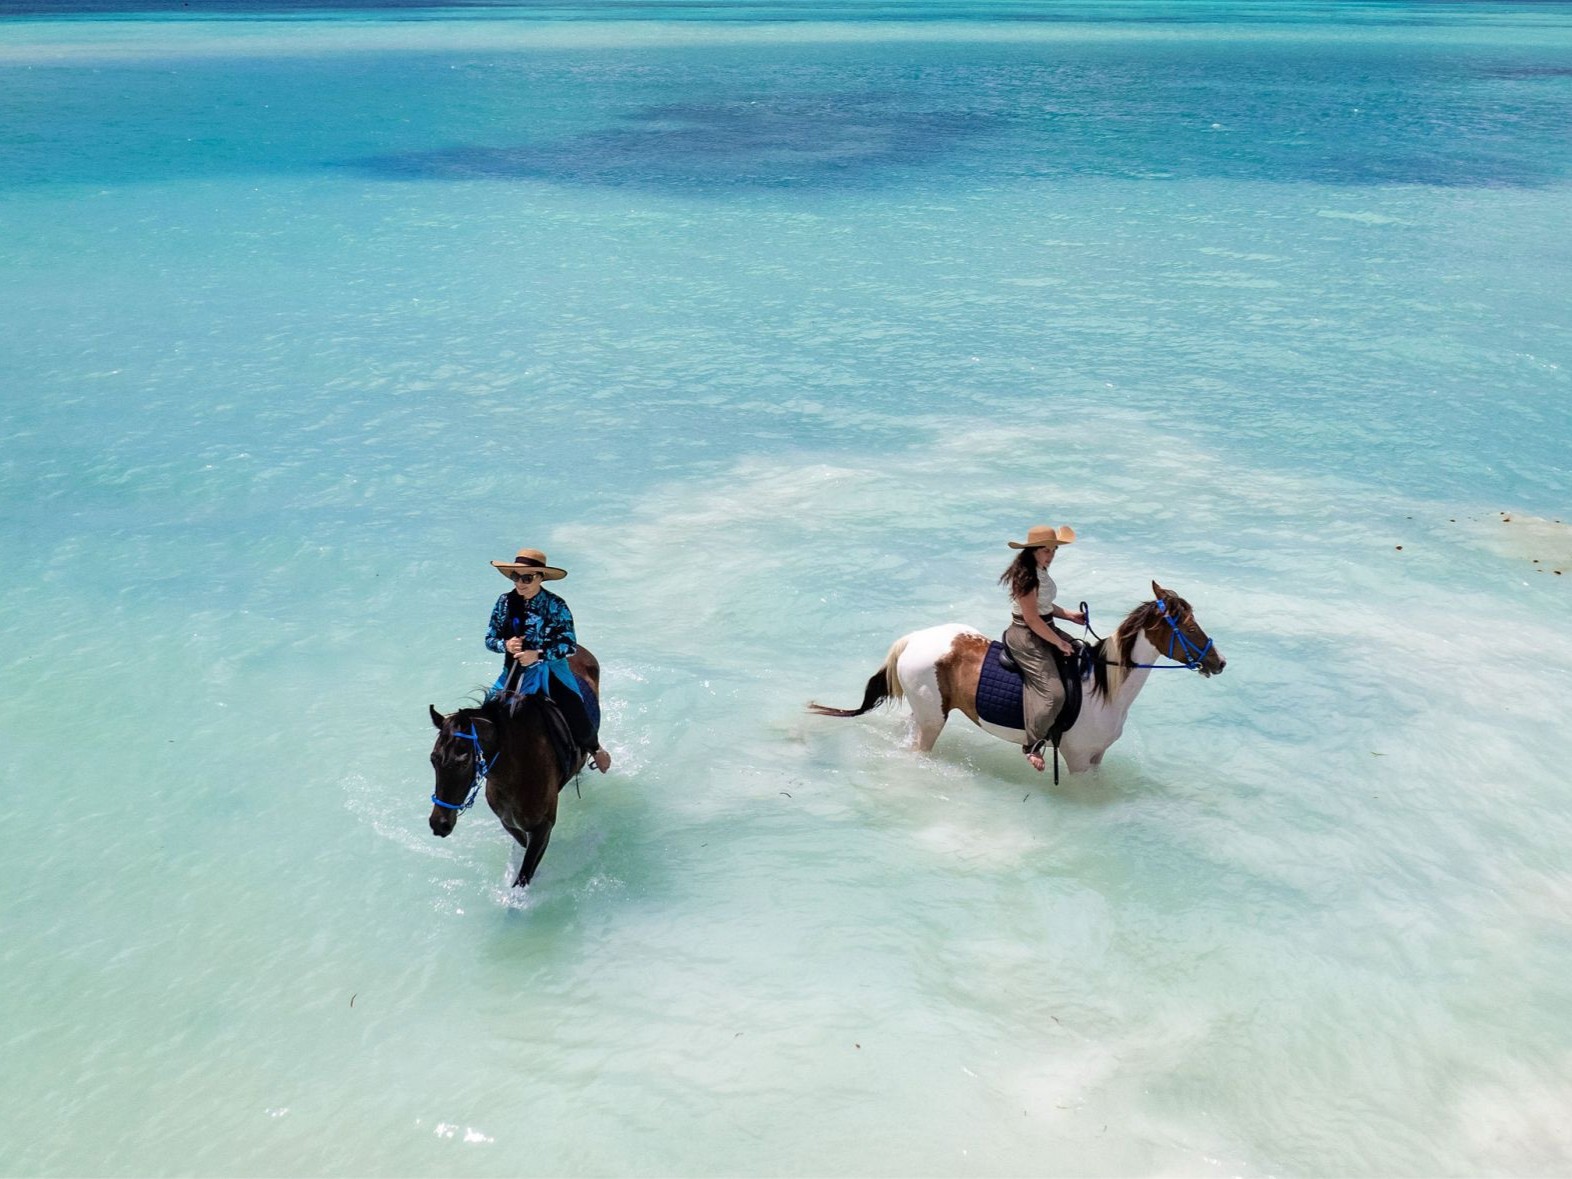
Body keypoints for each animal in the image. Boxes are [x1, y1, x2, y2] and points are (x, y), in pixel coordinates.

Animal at [427, 647, 602, 888]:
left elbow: (523, 875)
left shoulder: (542, 827)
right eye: (433, 759)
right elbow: (521, 845)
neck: (514, 772)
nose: (439, 823)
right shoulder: (509, 823)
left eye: (462, 761)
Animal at [809, 582, 1224, 774]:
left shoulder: (1096, 757)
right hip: (931, 721)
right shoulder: (1077, 759)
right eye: (1188, 627)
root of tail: (912, 639)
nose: (1219, 662)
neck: (1104, 690)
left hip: (921, 713)